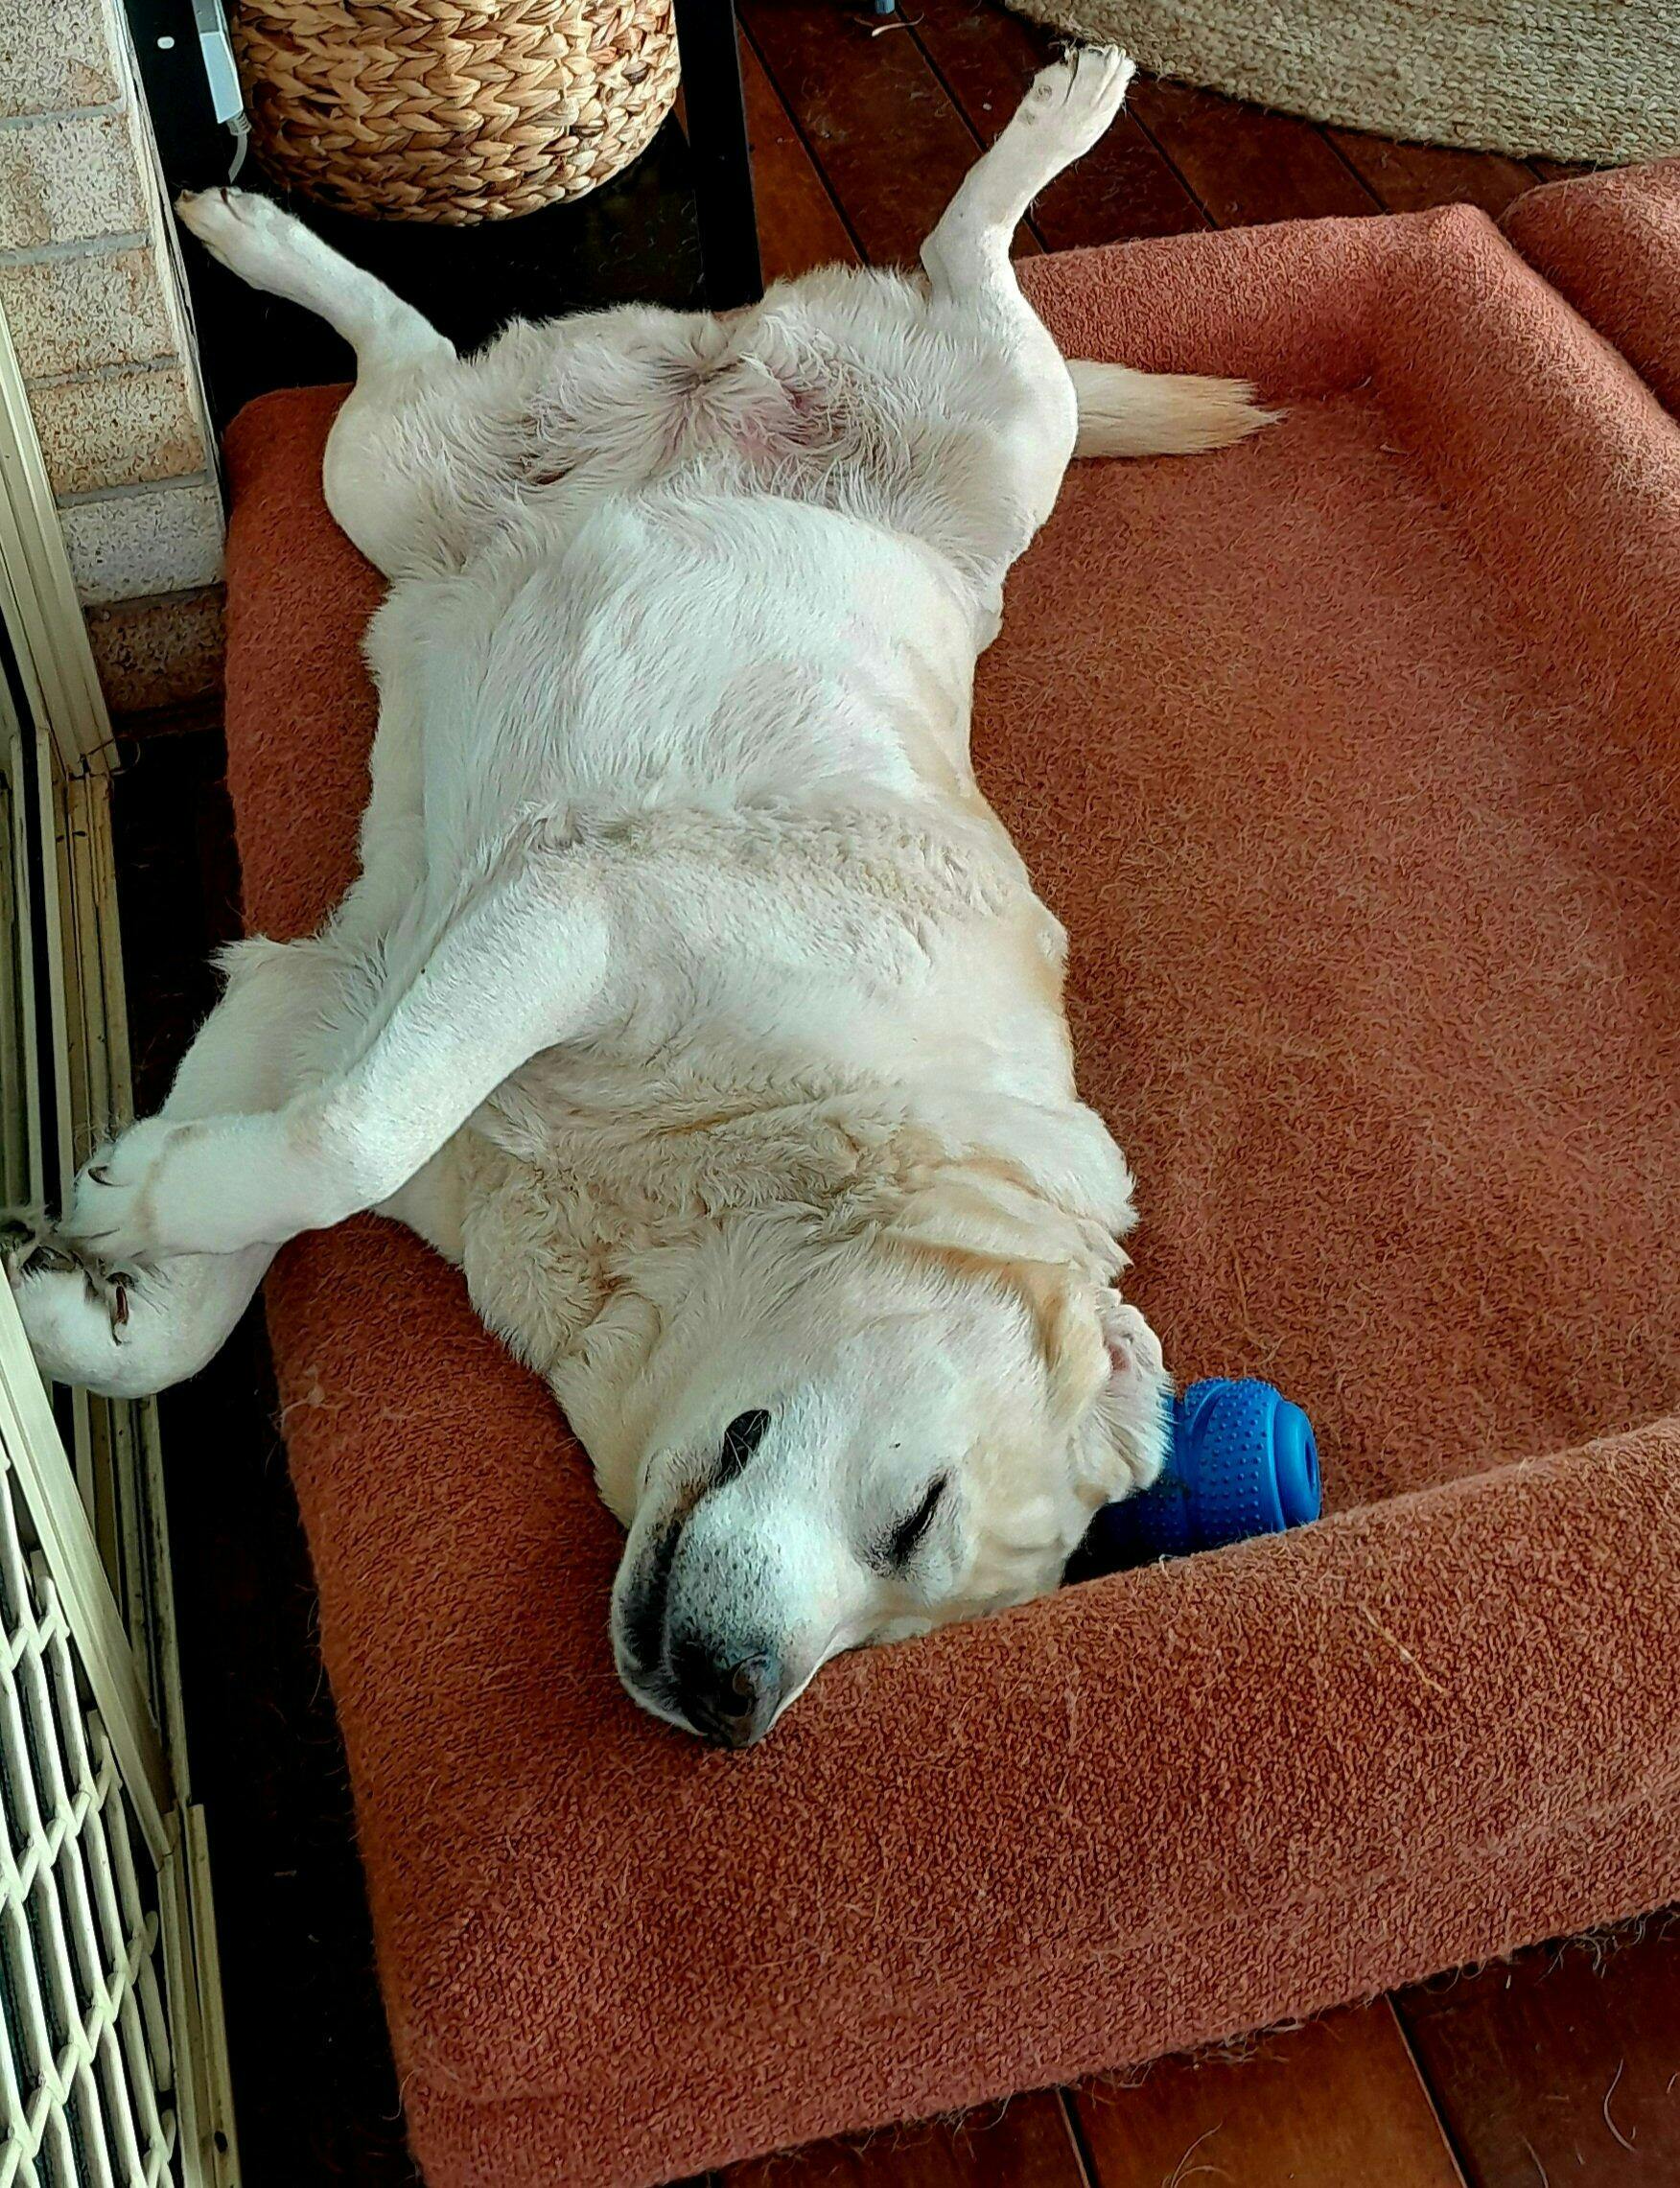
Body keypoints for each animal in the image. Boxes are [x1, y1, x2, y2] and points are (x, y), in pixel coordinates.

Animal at [8, 51, 1271, 1744]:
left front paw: (101, 1279)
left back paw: (247, 225)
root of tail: (717, 352)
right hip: (1000, 433)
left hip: (408, 479)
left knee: (406, 348)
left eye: (889, 1640)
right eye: (914, 1517)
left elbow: (264, 1199)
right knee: (972, 270)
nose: (738, 1702)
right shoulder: (585, 913)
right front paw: (124, 1222)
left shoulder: (328, 988)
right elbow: (345, 1141)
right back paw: (1059, 109)